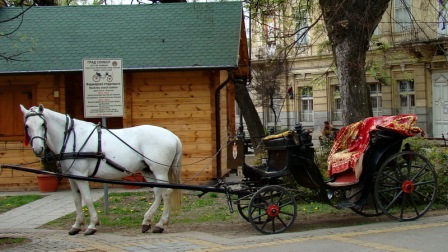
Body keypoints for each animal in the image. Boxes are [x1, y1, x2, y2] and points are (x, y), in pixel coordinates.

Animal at [21, 104, 182, 234]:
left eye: (43, 124)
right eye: (27, 125)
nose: (38, 149)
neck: (71, 138)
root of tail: (173, 137)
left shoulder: (81, 175)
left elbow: (87, 198)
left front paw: (92, 225)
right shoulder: (72, 177)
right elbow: (76, 199)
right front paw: (77, 225)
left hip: (159, 170)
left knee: (166, 192)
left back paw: (160, 224)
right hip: (147, 170)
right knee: (158, 192)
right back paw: (147, 221)